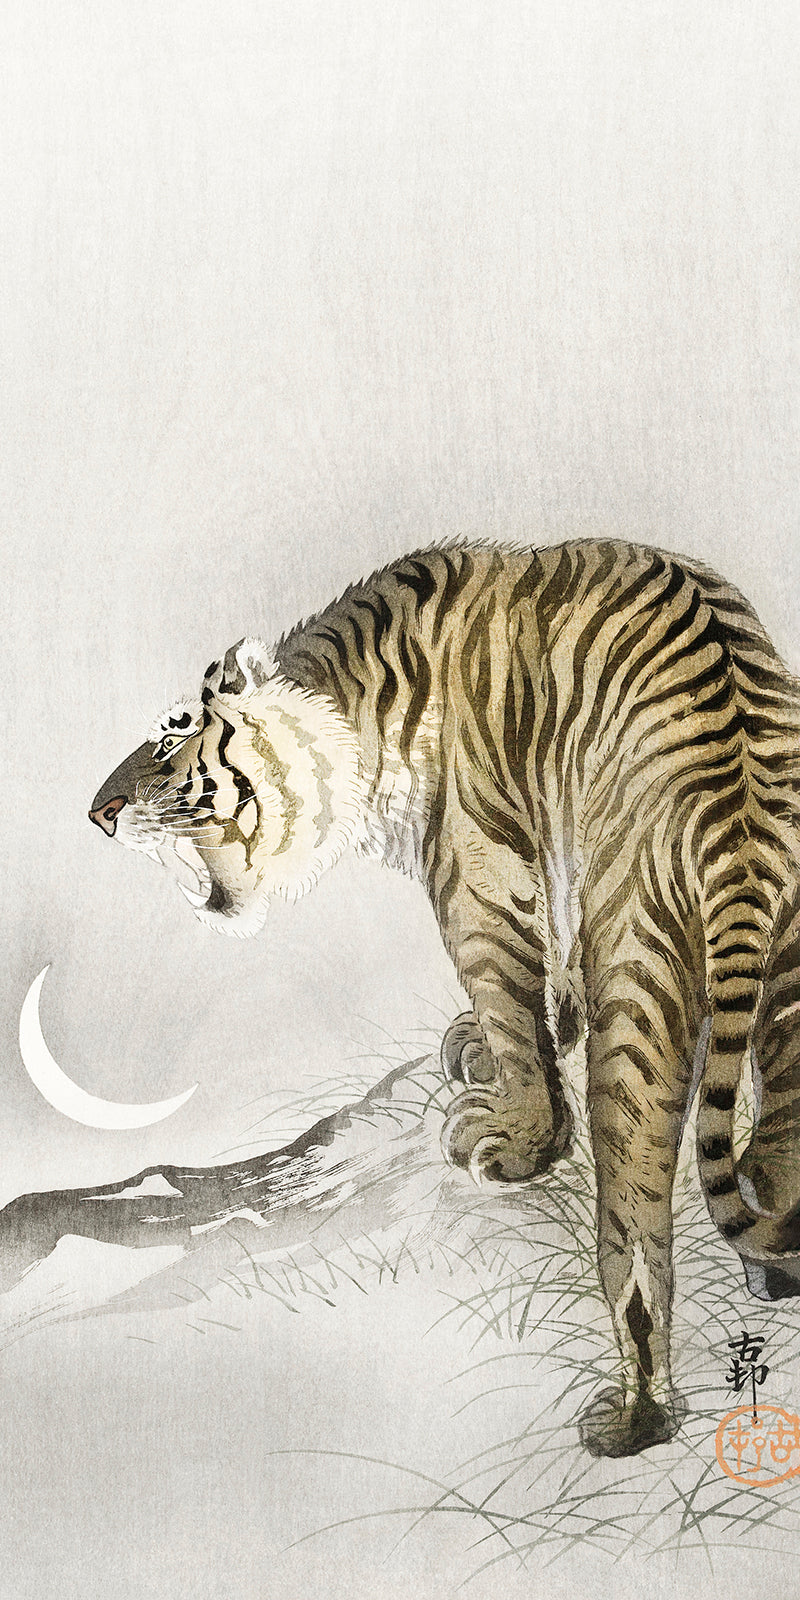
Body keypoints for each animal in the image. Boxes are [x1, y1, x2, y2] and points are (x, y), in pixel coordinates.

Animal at [89, 539, 800, 1458]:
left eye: (173, 736)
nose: (98, 811)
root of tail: (742, 810)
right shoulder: (550, 851)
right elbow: (549, 972)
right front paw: (501, 1040)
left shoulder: (475, 870)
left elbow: (509, 997)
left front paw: (517, 1136)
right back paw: (775, 1269)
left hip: (642, 974)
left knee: (636, 1229)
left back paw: (633, 1415)